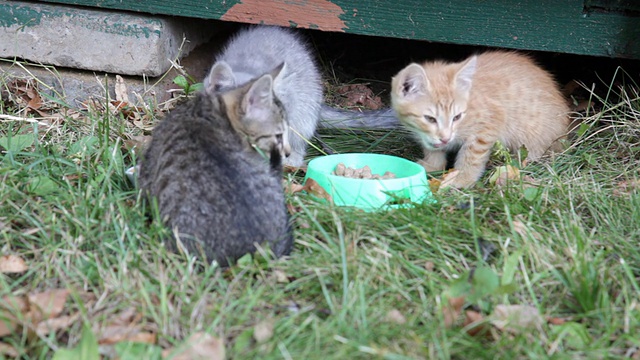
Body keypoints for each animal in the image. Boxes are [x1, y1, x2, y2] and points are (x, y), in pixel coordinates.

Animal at [390, 51, 568, 188]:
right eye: (430, 119)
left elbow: (472, 155)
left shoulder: (489, 123)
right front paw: (433, 165)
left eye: (457, 117)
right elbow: (433, 148)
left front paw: (462, 179)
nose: (446, 138)